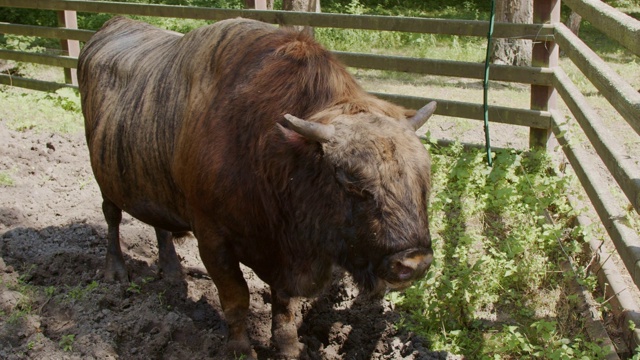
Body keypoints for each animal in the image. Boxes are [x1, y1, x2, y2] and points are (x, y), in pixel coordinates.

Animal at [75, 16, 436, 358]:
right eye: (350, 180)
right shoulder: (213, 241)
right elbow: (236, 298)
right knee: (111, 218)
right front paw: (240, 349)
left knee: (159, 226)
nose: (413, 263)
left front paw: (289, 346)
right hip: (104, 177)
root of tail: (110, 27)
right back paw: (115, 272)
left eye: (424, 177)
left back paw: (173, 271)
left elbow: (285, 303)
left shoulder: (285, 255)